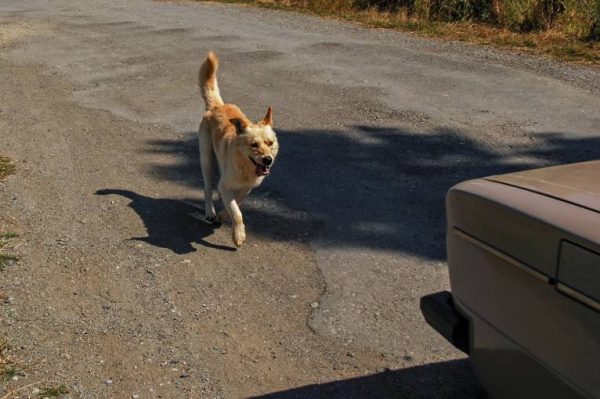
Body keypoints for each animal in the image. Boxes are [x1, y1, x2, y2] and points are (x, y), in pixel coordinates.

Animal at [199, 52, 278, 248]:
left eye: (270, 143)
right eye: (254, 145)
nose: (268, 160)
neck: (245, 166)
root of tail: (217, 106)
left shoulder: (247, 188)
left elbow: (237, 204)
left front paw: (223, 215)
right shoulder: (224, 186)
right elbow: (237, 212)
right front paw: (239, 235)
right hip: (206, 160)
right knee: (207, 188)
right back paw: (210, 211)